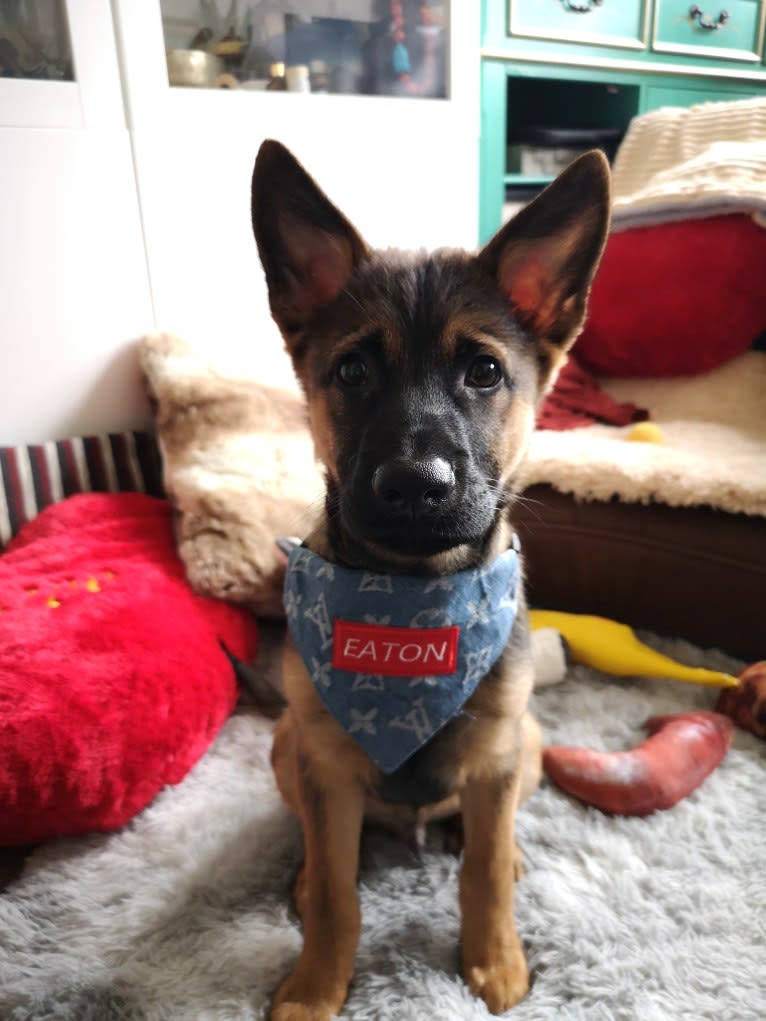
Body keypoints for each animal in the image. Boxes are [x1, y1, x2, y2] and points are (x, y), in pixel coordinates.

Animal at [252, 137, 612, 1021]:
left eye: (483, 371)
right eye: (351, 372)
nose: (416, 484)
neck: (411, 598)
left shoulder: (497, 753)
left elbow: (480, 873)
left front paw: (496, 961)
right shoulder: (322, 761)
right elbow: (338, 896)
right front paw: (316, 986)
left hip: (531, 741)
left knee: (493, 828)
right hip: (284, 743)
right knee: (319, 847)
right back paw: (305, 870)